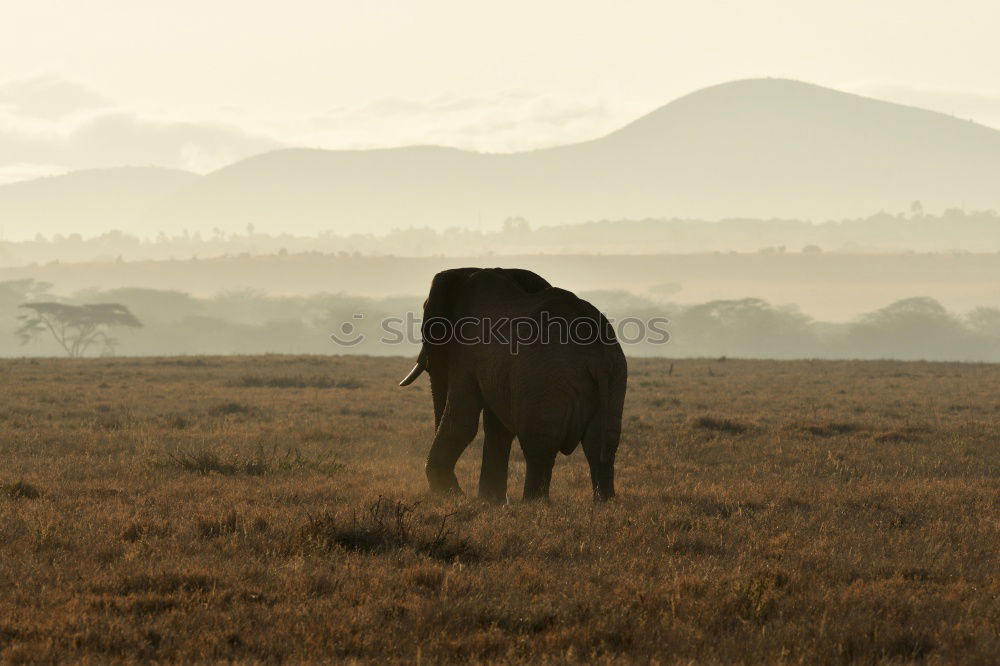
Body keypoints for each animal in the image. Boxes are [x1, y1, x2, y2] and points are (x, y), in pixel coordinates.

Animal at [396, 264, 624, 498]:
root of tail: (596, 354)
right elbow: (497, 426)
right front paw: (488, 501)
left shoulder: (467, 352)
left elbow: (463, 419)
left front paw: (451, 494)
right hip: (615, 376)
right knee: (600, 445)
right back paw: (604, 502)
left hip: (543, 381)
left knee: (539, 447)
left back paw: (533, 503)